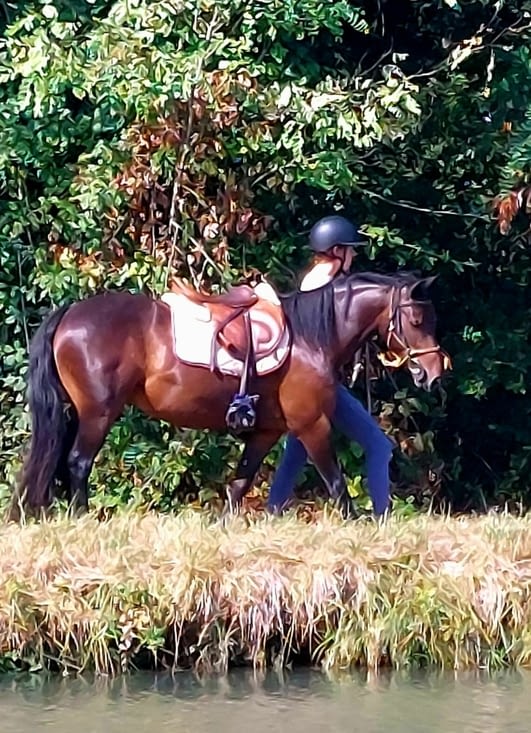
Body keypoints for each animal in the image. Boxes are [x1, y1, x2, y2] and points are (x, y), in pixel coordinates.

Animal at [13, 271, 450, 520]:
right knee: (78, 462)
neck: (311, 337)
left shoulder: (267, 432)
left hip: (78, 413)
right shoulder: (312, 425)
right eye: (416, 319)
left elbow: (241, 482)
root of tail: (70, 313)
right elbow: (336, 480)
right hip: (98, 413)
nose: (434, 373)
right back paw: (81, 517)